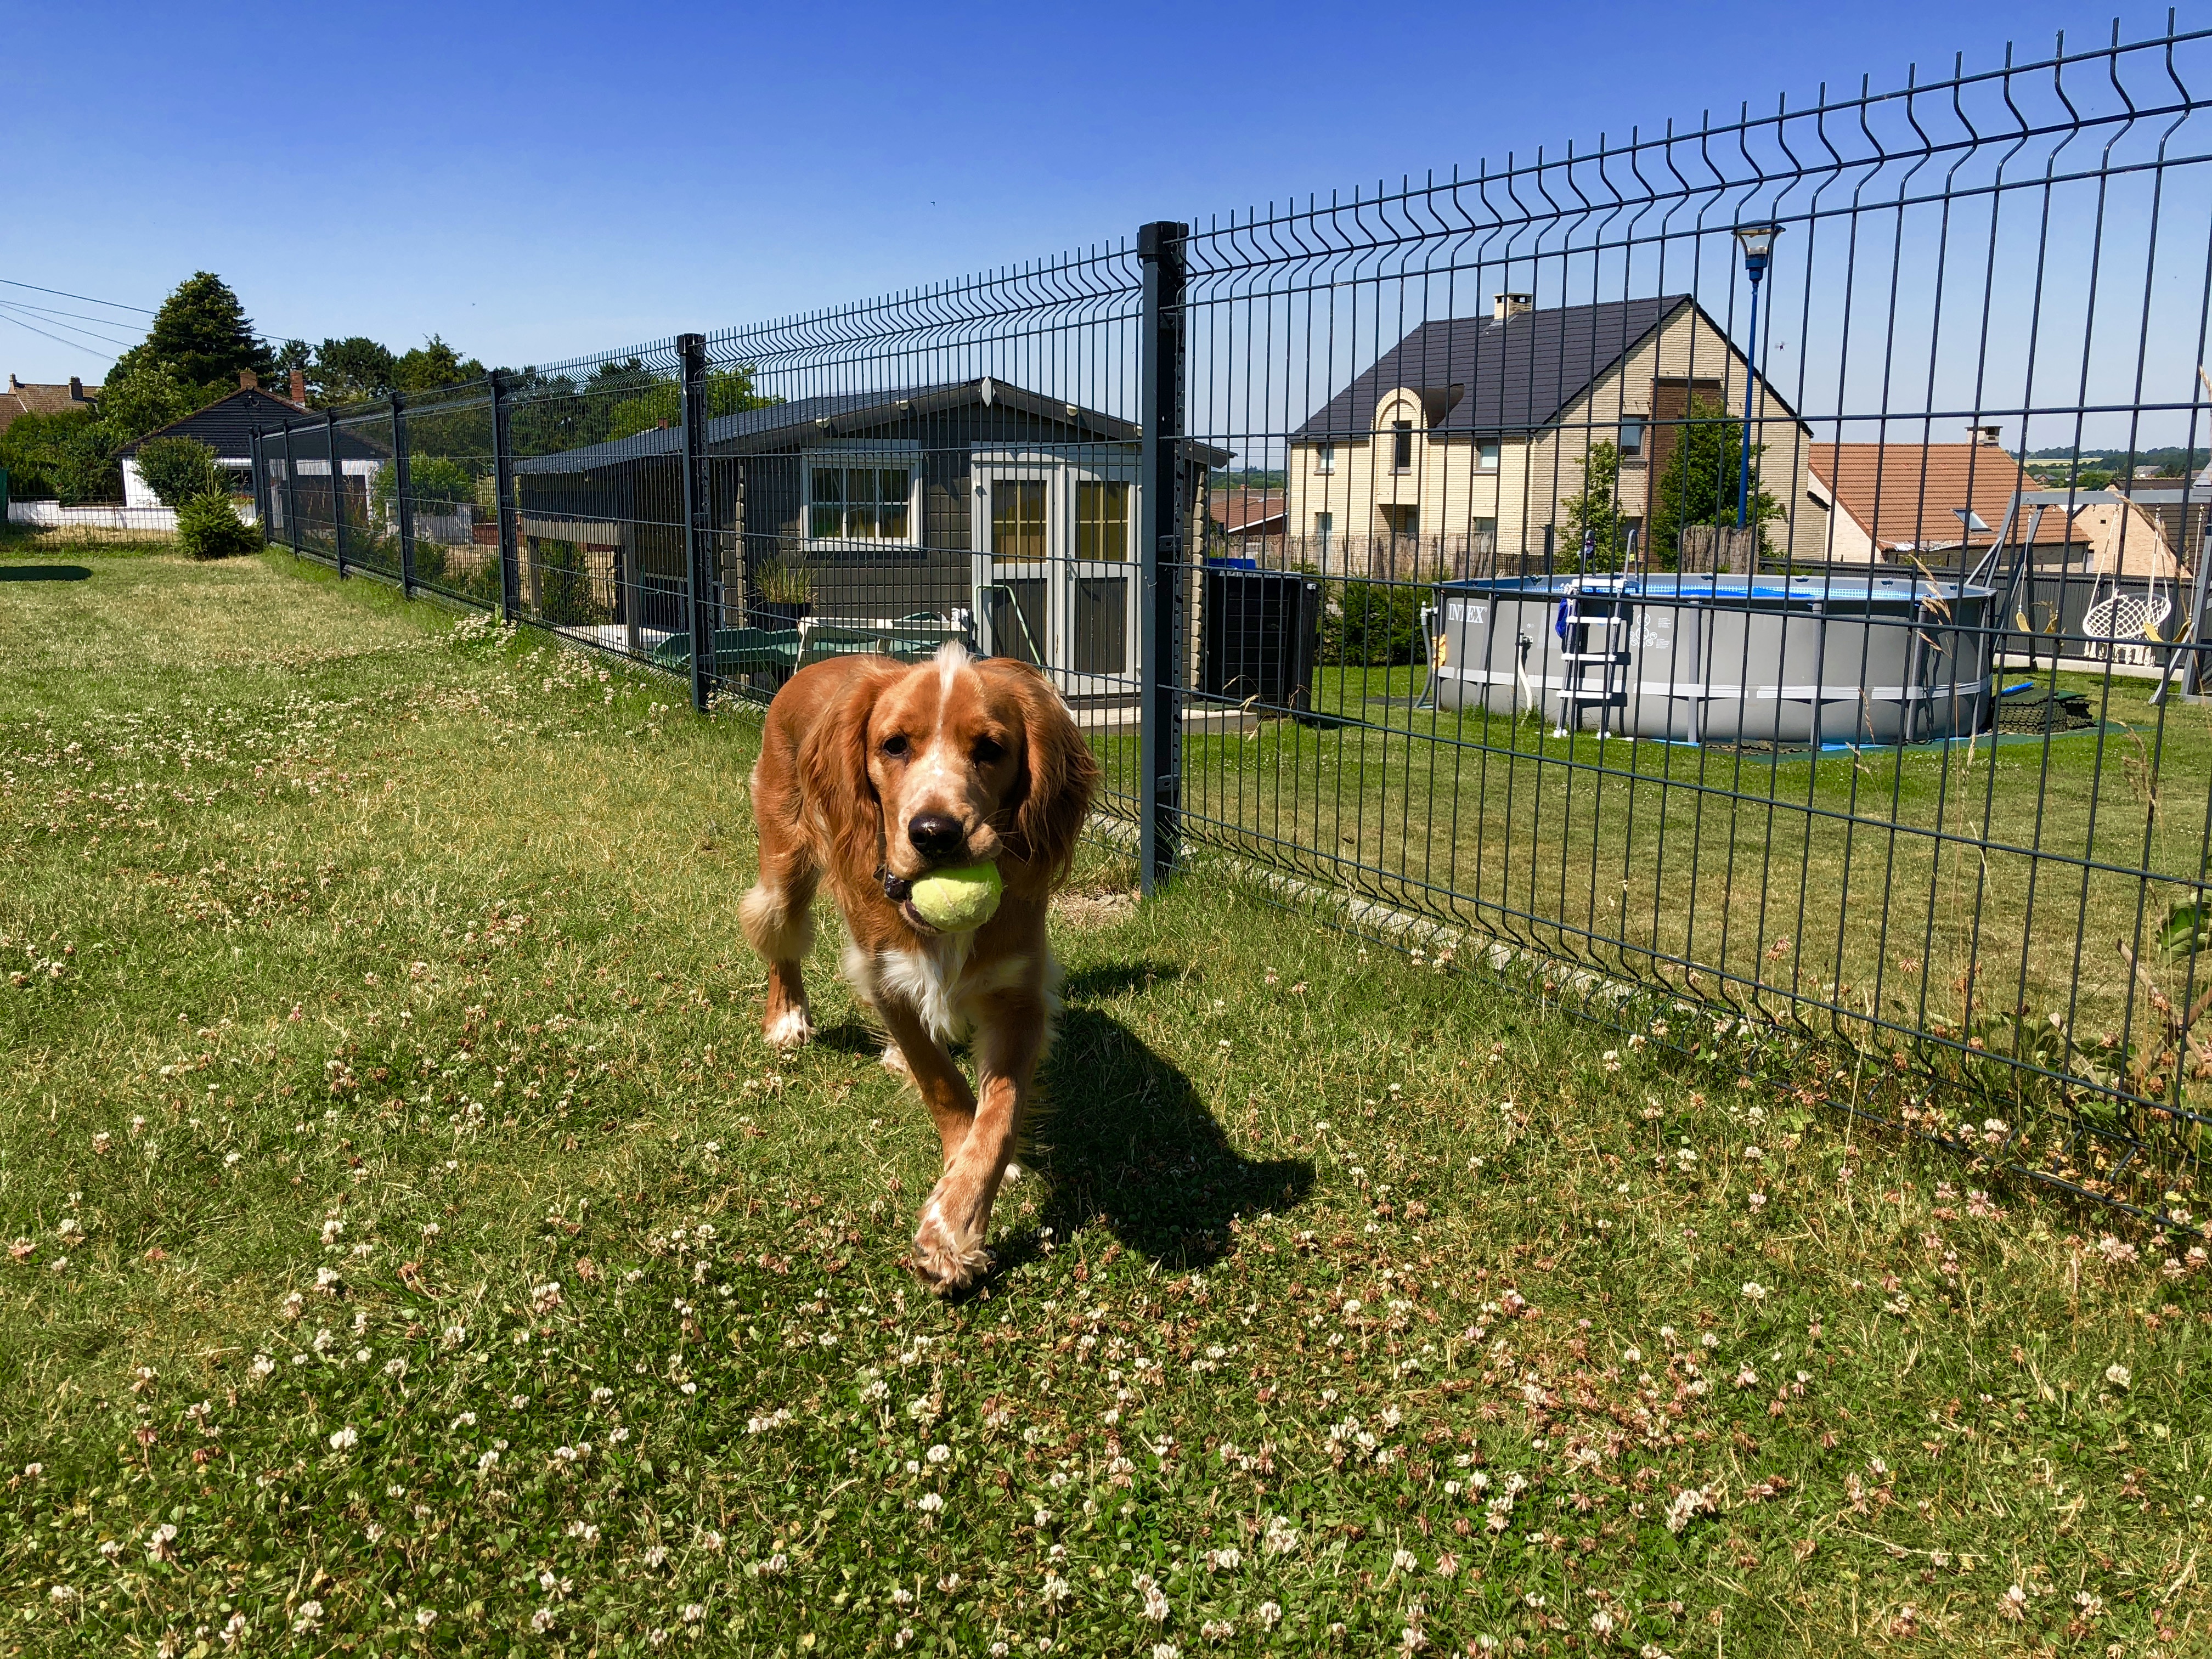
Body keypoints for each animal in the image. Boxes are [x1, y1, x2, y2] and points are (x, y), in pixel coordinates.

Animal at [738, 641, 1092, 1291]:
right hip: (784, 858)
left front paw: (956, 1223)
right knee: (779, 937)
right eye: (894, 745)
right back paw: (787, 1016)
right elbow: (942, 1084)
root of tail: (808, 670)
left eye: (991, 749)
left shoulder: (1020, 996)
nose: (935, 833)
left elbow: (998, 1118)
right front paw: (955, 1201)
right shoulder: (887, 978)